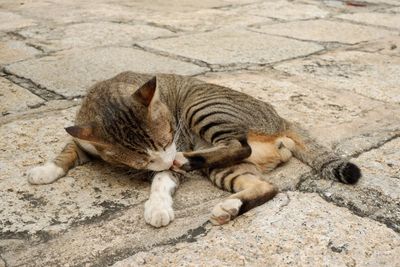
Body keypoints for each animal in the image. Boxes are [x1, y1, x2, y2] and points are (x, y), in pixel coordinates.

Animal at [26, 71, 360, 228]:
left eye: (166, 140)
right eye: (142, 159)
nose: (170, 157)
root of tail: (281, 119)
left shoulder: (178, 142)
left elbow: (162, 181)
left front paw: (158, 206)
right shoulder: (83, 136)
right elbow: (66, 151)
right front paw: (44, 171)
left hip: (202, 108)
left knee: (239, 145)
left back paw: (188, 162)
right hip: (223, 167)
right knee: (265, 186)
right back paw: (229, 207)